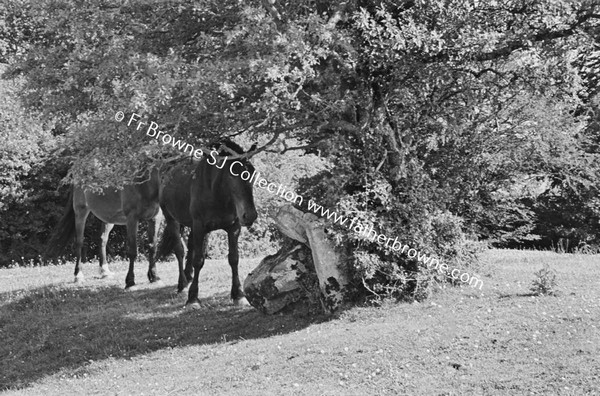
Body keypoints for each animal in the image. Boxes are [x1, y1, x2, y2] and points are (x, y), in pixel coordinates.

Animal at [158, 141, 256, 308]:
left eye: (252, 172)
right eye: (232, 173)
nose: (250, 215)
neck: (216, 192)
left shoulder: (233, 228)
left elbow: (234, 258)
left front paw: (238, 294)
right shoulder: (200, 226)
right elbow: (199, 260)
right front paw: (193, 298)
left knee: (190, 246)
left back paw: (188, 276)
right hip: (171, 218)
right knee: (179, 250)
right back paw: (182, 285)